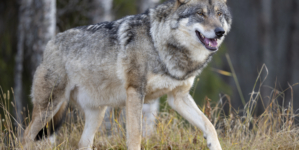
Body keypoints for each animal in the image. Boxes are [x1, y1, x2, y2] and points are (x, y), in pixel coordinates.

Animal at [24, 0, 233, 149]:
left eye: (219, 14)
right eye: (200, 14)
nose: (220, 32)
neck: (158, 42)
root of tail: (50, 43)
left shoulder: (178, 97)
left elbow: (209, 125)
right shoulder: (135, 91)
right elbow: (135, 135)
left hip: (97, 113)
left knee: (83, 143)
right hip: (49, 107)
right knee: (26, 135)